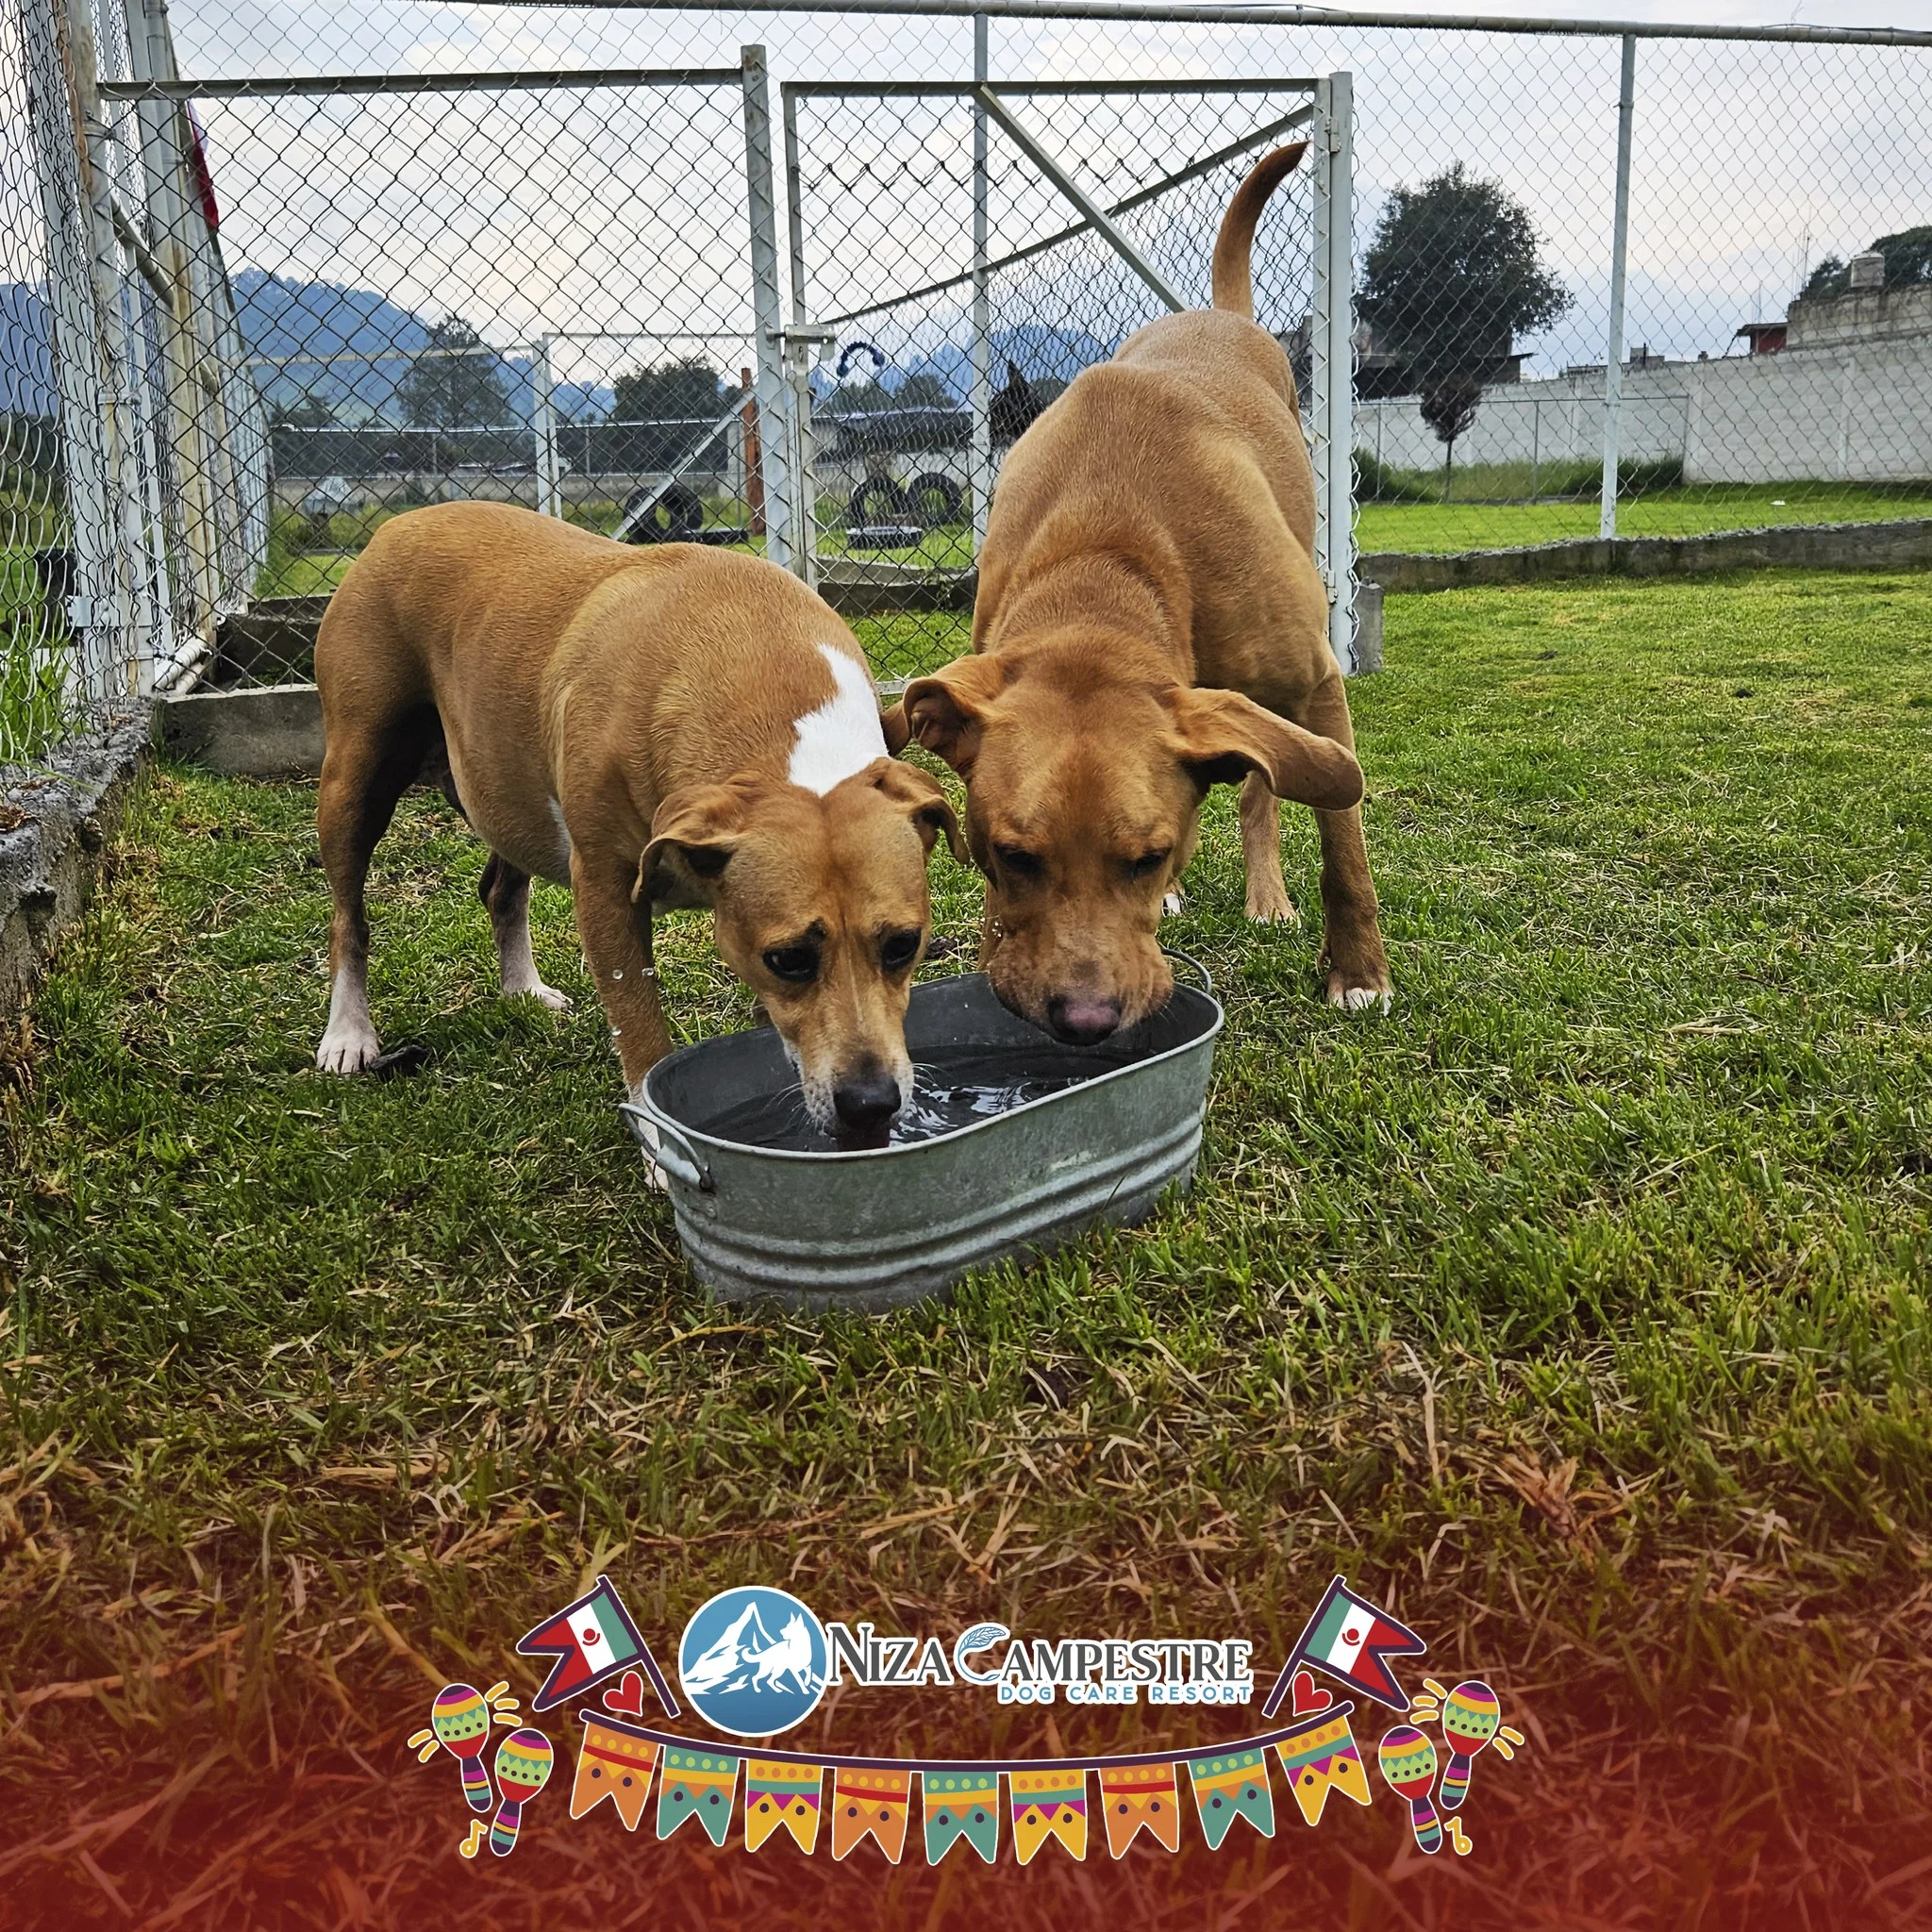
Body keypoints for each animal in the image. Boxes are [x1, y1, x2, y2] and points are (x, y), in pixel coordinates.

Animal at [310, 502, 966, 1143]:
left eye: (904, 945)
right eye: (789, 959)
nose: (870, 1104)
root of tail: (397, 524)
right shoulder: (604, 888)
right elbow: (641, 1025)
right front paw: (661, 1148)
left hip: (504, 787)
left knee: (500, 888)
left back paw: (522, 989)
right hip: (355, 778)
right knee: (348, 918)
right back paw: (348, 1035)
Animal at [889, 144, 1391, 1042]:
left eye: (1147, 857)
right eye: (1010, 856)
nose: (1082, 1020)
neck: (1108, 555)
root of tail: (1218, 314)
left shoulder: (1316, 684)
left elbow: (1343, 838)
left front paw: (1359, 972)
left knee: (1263, 788)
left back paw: (1270, 900)